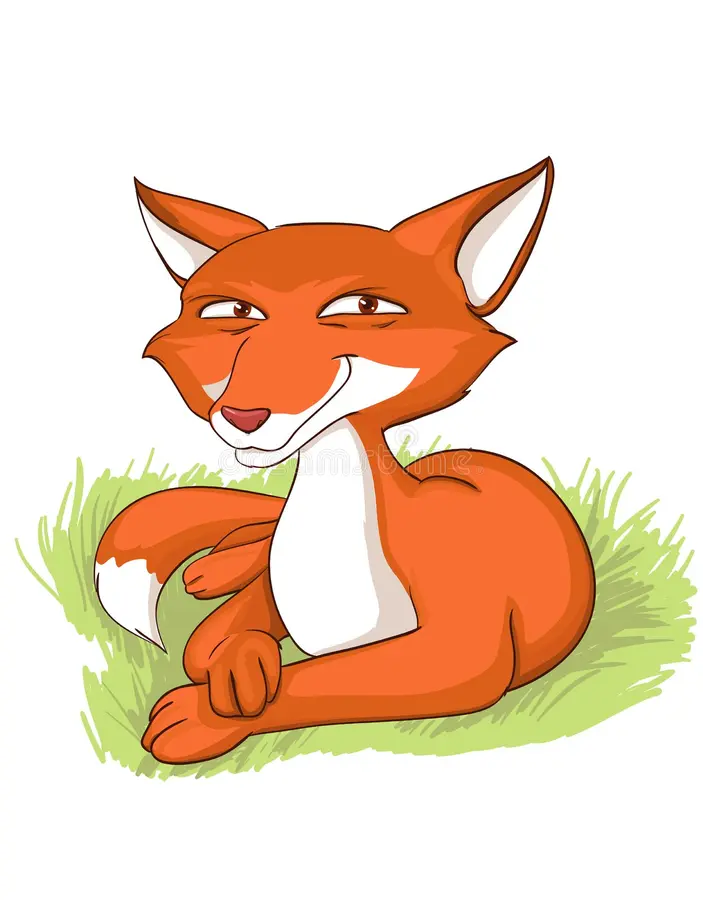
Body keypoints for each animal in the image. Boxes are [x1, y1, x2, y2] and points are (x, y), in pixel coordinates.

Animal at [94, 158, 595, 765]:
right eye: (235, 313)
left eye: (363, 308)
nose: (241, 415)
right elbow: (207, 642)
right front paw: (239, 660)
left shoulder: (460, 648)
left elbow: (308, 678)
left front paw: (209, 710)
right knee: (260, 528)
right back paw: (218, 565)